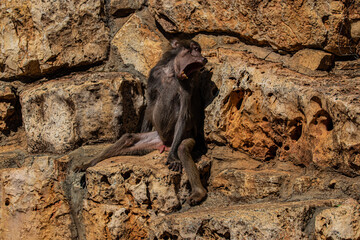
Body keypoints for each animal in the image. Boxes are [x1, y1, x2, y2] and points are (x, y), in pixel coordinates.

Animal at [75, 39, 210, 204]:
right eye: (195, 49)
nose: (204, 58)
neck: (171, 73)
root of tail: (165, 144)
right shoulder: (154, 75)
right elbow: (150, 105)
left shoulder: (188, 83)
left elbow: (184, 115)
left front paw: (172, 157)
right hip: (154, 139)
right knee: (128, 138)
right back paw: (90, 164)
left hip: (182, 136)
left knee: (182, 148)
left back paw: (198, 192)